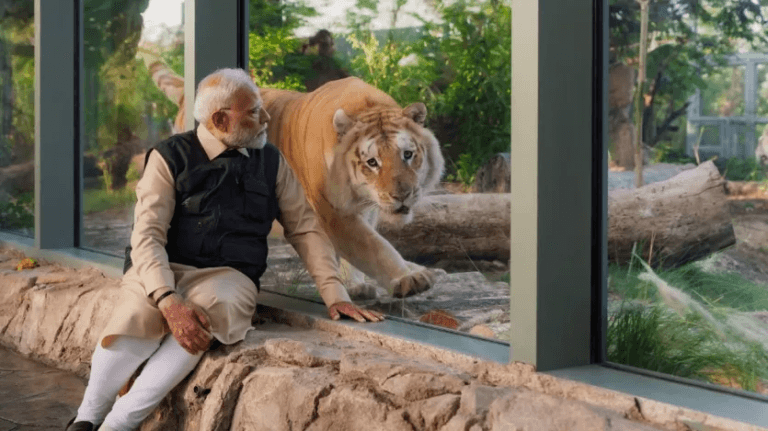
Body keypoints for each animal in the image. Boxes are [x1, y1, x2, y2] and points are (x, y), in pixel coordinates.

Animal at [260, 77, 446, 299]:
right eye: (372, 162)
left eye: (407, 155)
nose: (402, 195)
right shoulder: (333, 213)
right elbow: (373, 246)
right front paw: (408, 279)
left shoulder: (368, 209)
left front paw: (356, 286)